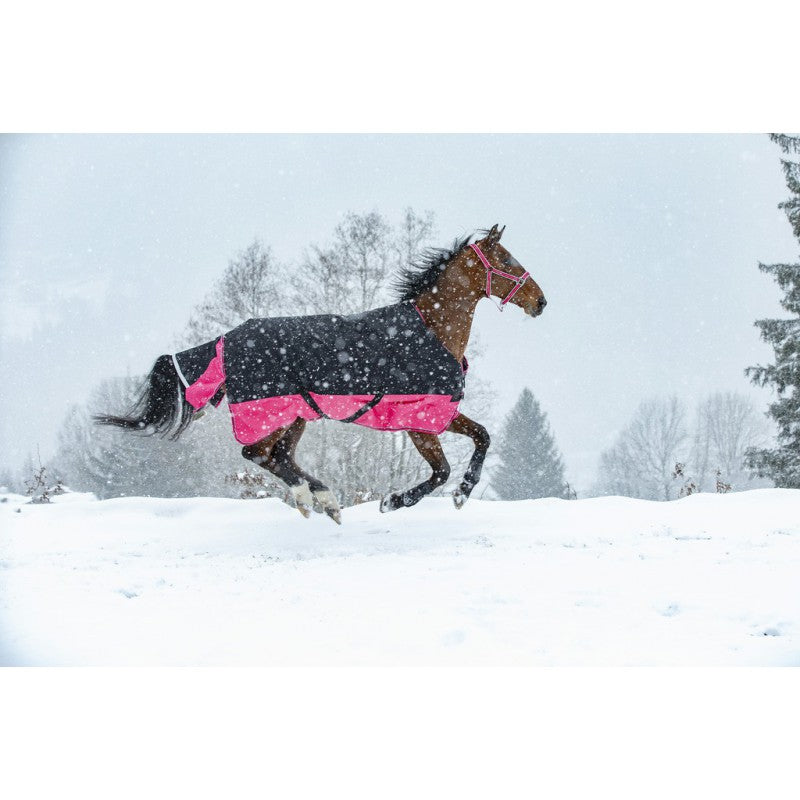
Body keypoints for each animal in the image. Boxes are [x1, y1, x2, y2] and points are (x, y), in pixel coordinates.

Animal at [95, 224, 547, 524]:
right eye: (507, 260)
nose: (540, 301)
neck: (430, 329)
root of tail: (226, 339)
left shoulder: (437, 412)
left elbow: (482, 437)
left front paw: (460, 494)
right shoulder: (419, 419)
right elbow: (442, 471)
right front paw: (397, 501)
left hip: (296, 416)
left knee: (277, 456)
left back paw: (322, 501)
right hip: (271, 413)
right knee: (256, 454)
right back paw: (315, 497)